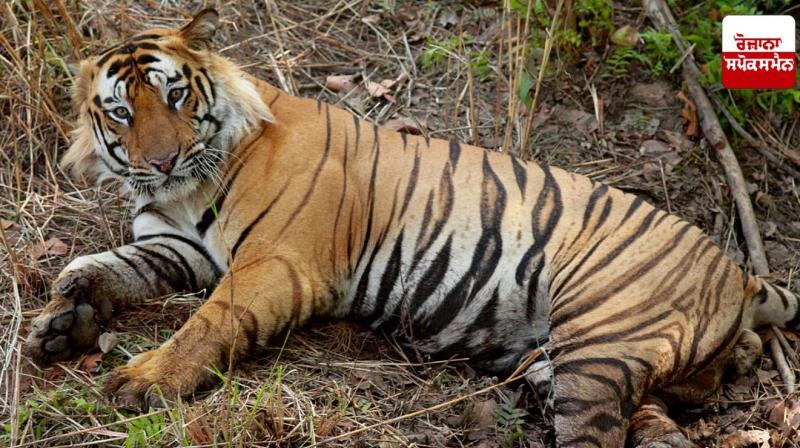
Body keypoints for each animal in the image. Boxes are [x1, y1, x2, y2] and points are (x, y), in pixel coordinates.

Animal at [23, 9, 800, 447]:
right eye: (121, 112)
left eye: (177, 95)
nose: (161, 160)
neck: (189, 189)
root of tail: (740, 270)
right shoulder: (180, 244)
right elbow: (111, 265)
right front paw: (63, 321)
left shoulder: (274, 264)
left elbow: (205, 323)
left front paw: (141, 379)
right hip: (582, 361)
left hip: (599, 342)